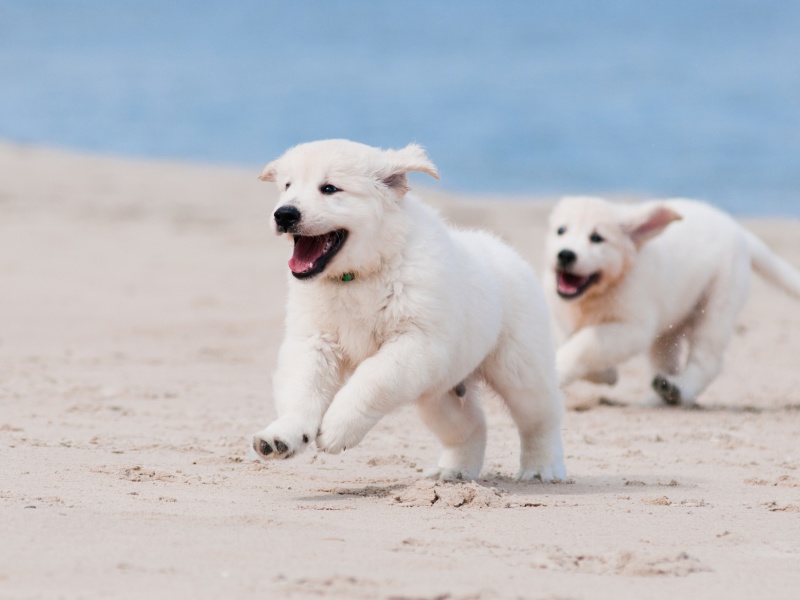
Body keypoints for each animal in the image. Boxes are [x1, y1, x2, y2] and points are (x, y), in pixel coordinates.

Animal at [250, 141, 564, 482]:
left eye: (330, 188)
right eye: (287, 186)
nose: (284, 214)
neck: (358, 277)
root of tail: (507, 252)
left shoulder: (416, 342)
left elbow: (372, 378)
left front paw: (337, 428)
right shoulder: (314, 340)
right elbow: (302, 386)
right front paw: (282, 435)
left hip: (520, 368)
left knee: (541, 418)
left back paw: (541, 468)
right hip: (440, 392)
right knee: (471, 426)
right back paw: (453, 472)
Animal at [544, 195, 800, 406]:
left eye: (597, 238)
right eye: (561, 231)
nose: (565, 254)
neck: (596, 293)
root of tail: (737, 229)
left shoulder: (632, 328)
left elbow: (583, 344)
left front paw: (567, 370)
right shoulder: (559, 316)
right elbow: (569, 340)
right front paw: (606, 374)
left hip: (718, 303)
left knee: (707, 360)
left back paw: (679, 389)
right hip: (669, 328)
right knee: (668, 362)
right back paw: (659, 396)